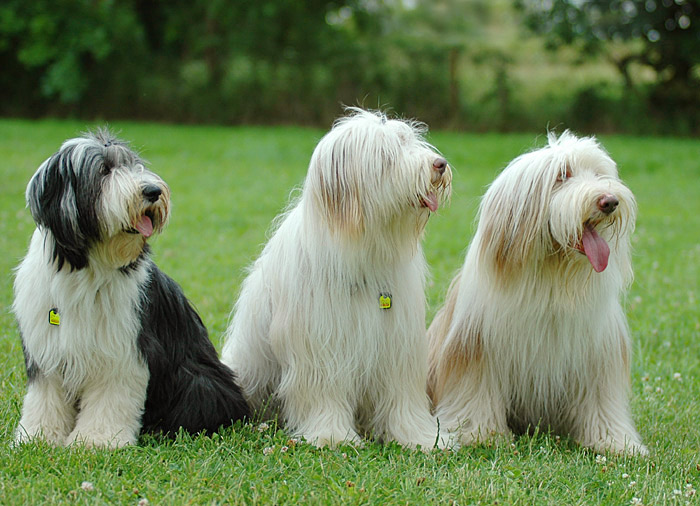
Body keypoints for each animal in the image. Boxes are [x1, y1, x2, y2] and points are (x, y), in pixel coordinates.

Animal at [224, 108, 454, 448]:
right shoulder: (320, 340)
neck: (363, 249)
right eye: (387, 156)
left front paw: (421, 438)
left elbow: (401, 398)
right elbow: (324, 390)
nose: (439, 164)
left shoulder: (397, 343)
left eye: (410, 142)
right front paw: (332, 436)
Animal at [430, 130, 648, 454]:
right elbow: (476, 392)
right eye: (562, 176)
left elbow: (601, 400)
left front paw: (614, 442)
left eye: (599, 174)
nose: (609, 201)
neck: (552, 279)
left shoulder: (598, 353)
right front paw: (481, 434)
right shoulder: (477, 347)